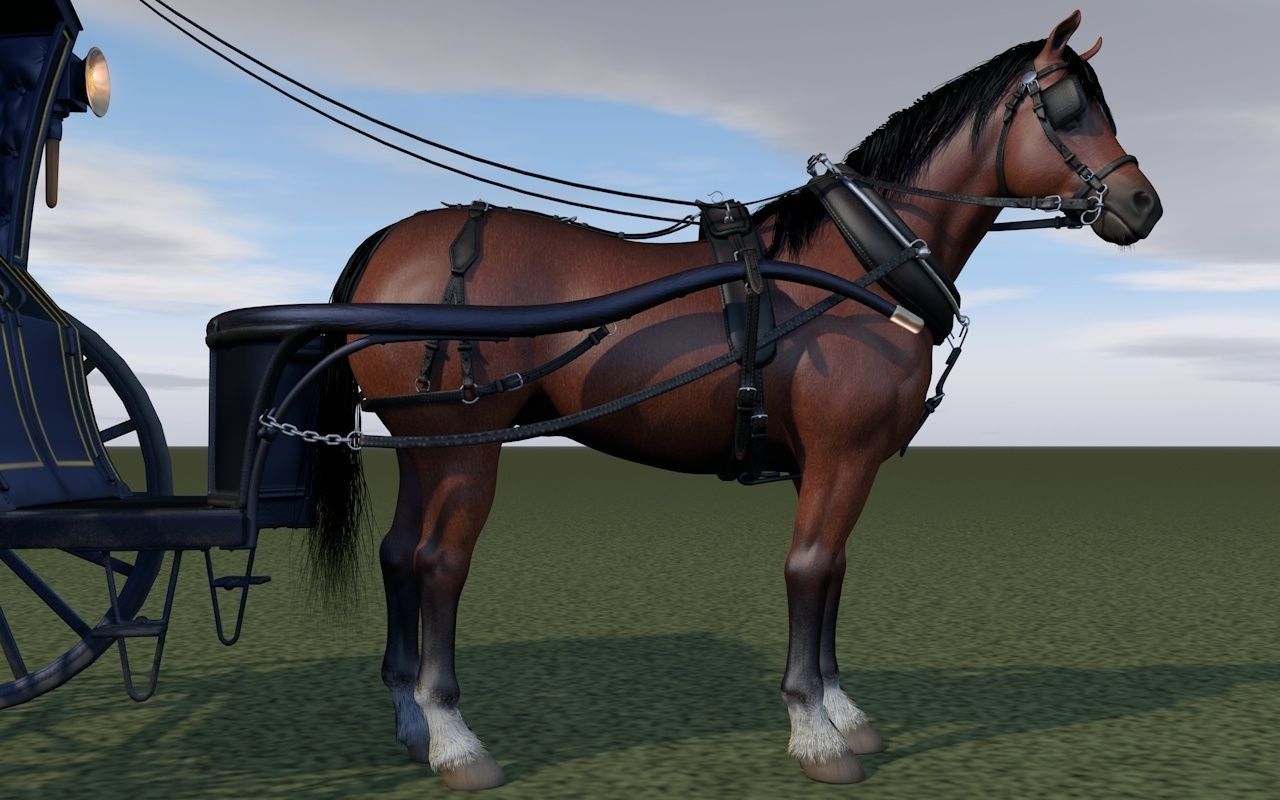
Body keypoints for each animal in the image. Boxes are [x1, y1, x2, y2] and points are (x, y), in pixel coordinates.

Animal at [307, 11, 1162, 789]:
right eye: (1068, 110)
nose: (1143, 205)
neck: (858, 266)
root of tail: (392, 242)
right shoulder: (841, 455)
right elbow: (809, 569)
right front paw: (815, 732)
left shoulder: (837, 466)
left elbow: (836, 571)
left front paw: (843, 710)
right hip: (465, 447)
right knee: (440, 563)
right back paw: (454, 740)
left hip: (421, 447)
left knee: (398, 554)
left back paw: (411, 723)